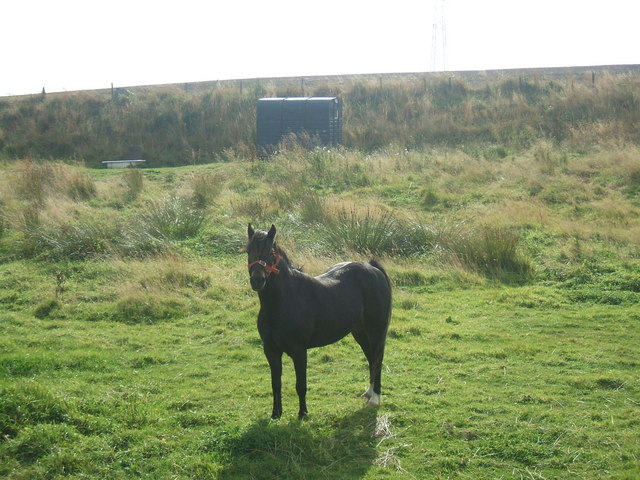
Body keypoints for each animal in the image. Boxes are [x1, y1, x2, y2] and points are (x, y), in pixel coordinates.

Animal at [248, 225, 392, 420]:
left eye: (270, 252)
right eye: (248, 251)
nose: (257, 280)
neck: (283, 301)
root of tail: (371, 267)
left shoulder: (299, 351)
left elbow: (301, 385)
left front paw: (303, 414)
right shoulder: (271, 350)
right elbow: (275, 383)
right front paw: (276, 414)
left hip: (375, 331)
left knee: (377, 358)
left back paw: (375, 398)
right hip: (360, 332)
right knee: (371, 358)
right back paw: (369, 393)